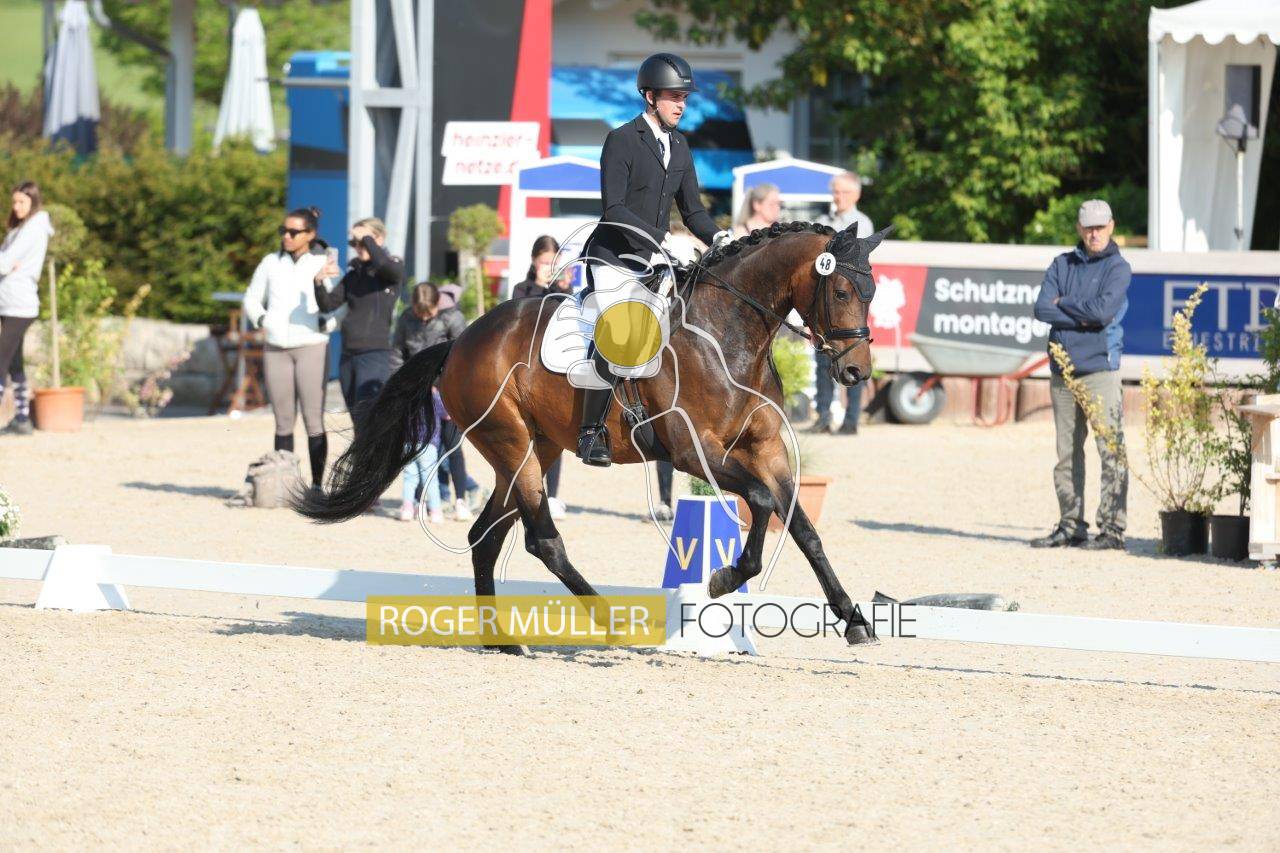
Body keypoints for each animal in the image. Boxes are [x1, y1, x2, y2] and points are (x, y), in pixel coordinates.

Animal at [295, 219, 891, 648]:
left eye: (872, 291)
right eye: (842, 291)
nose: (856, 372)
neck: (729, 335)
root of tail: (460, 341)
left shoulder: (764, 450)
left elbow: (799, 525)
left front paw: (853, 618)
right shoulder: (693, 452)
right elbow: (764, 502)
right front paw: (723, 579)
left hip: (532, 449)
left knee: (486, 537)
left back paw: (501, 640)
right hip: (515, 448)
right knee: (542, 540)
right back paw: (610, 623)